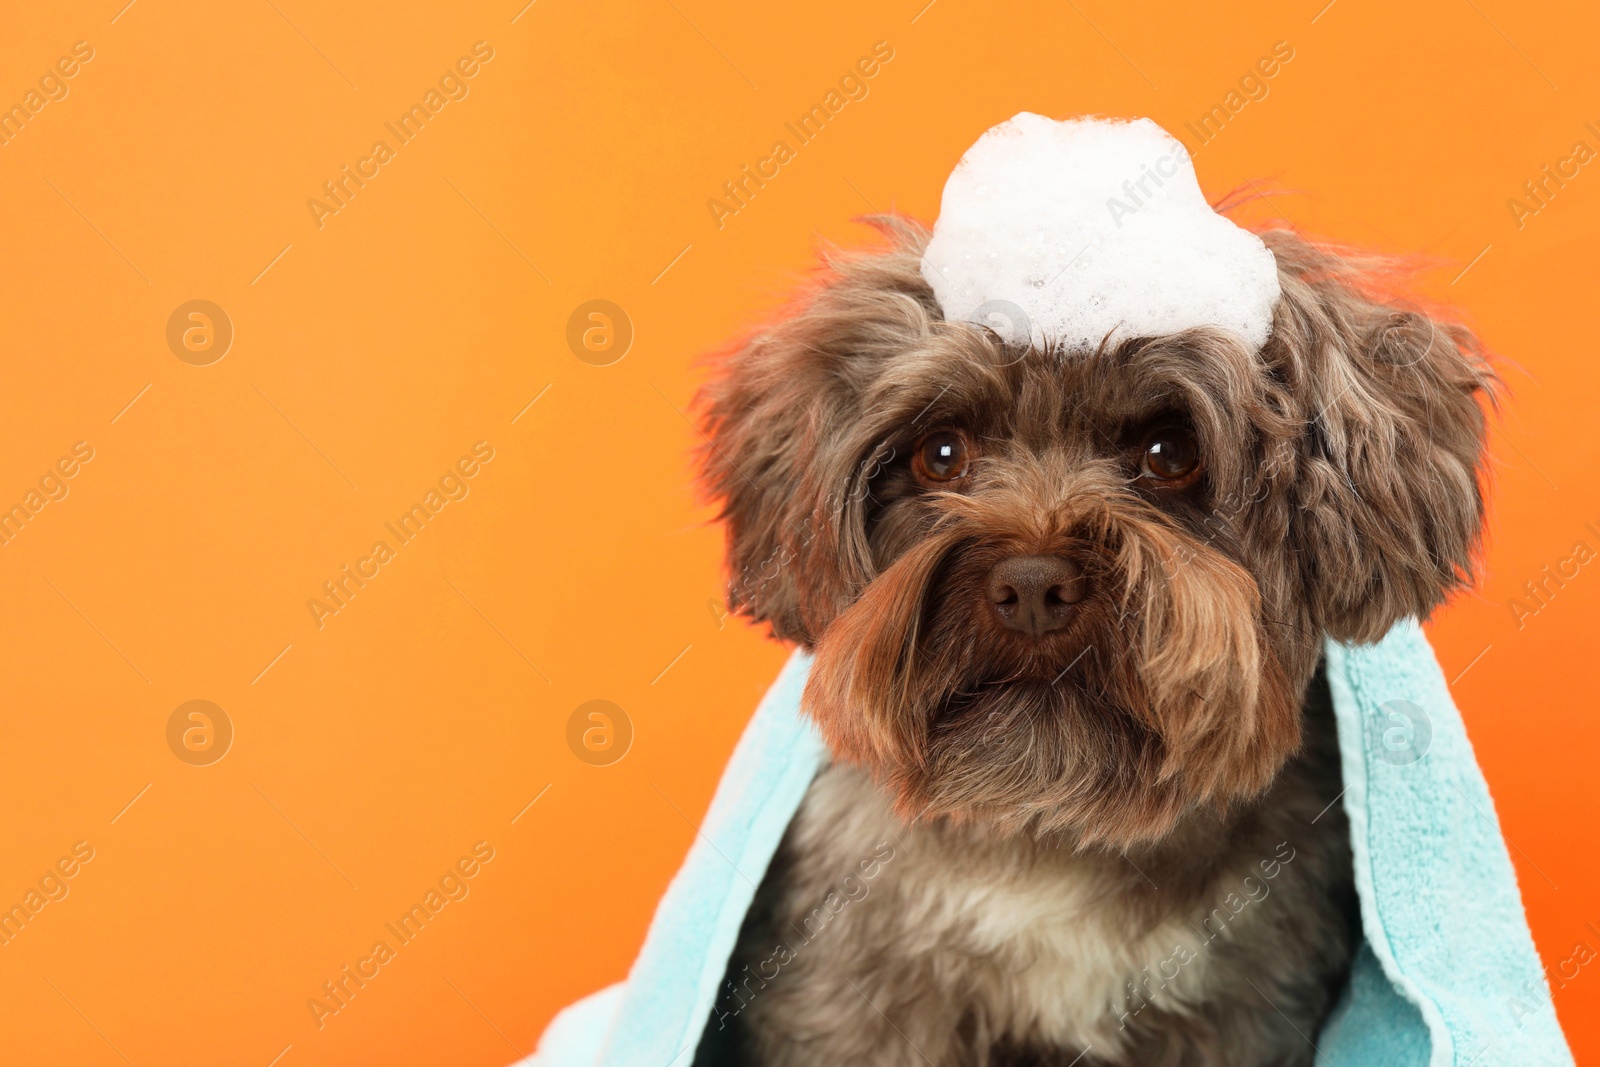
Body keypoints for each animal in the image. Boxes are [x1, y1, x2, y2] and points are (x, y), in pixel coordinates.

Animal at [691, 219, 1497, 1067]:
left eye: (1170, 453)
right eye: (940, 452)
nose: (1032, 585)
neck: (1057, 828)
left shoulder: (1241, 1012)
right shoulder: (857, 1004)